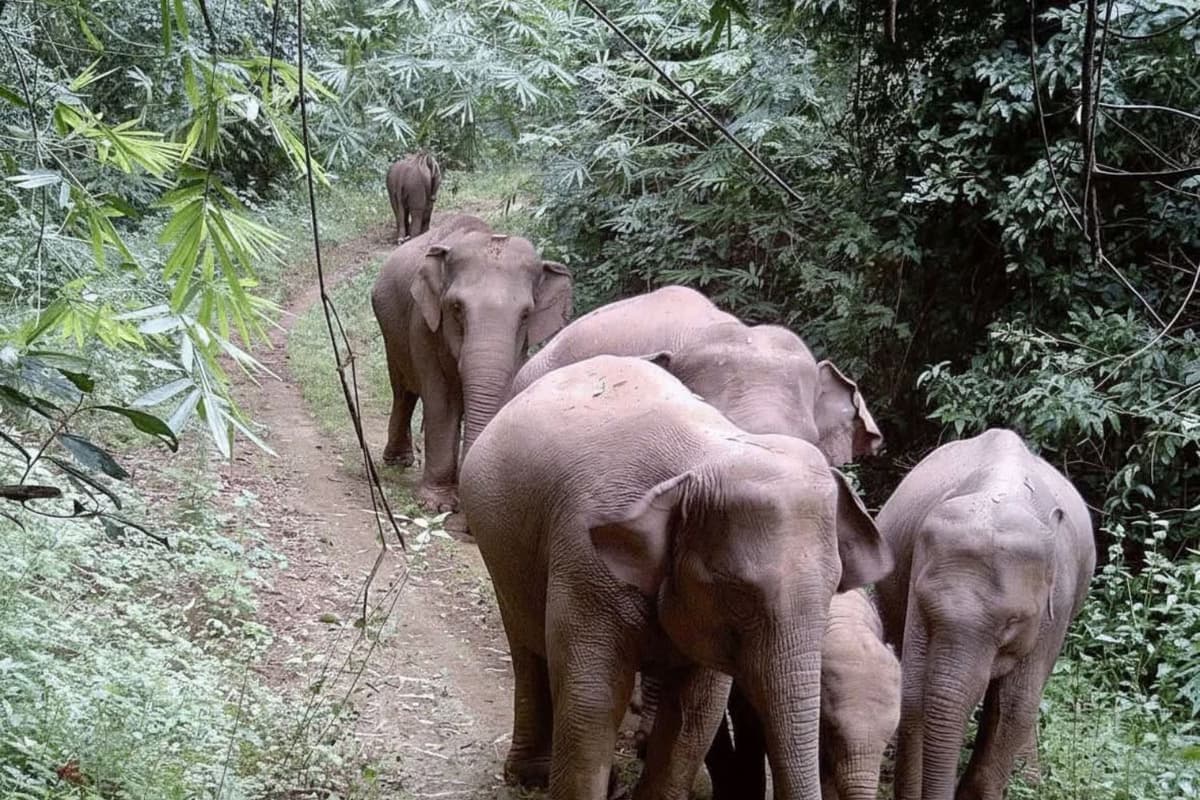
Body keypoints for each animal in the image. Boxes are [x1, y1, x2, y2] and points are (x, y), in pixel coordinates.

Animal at [370, 214, 573, 511]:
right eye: (456, 307)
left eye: (526, 315)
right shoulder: (423, 325)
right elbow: (441, 401)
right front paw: (438, 504)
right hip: (390, 330)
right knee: (403, 391)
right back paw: (398, 461)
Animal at [874, 428, 1096, 800]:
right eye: (927, 608)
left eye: (1013, 621)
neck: (998, 495)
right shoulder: (918, 574)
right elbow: (916, 690)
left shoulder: (1058, 602)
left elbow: (1015, 705)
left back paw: (1029, 780)